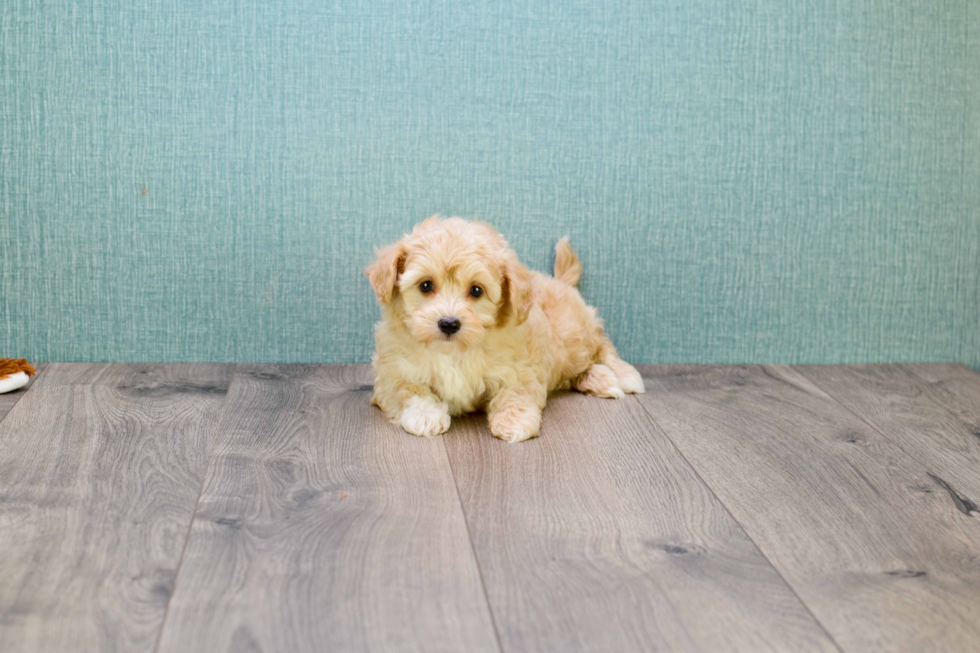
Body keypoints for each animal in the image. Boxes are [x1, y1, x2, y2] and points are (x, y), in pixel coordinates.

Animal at [366, 216, 644, 440]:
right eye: (425, 286)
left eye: (476, 290)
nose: (449, 323)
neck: (454, 351)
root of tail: (560, 282)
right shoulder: (390, 372)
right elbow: (410, 391)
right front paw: (426, 416)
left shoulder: (521, 369)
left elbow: (516, 393)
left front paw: (515, 423)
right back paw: (600, 379)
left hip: (576, 335)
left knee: (602, 346)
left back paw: (623, 375)